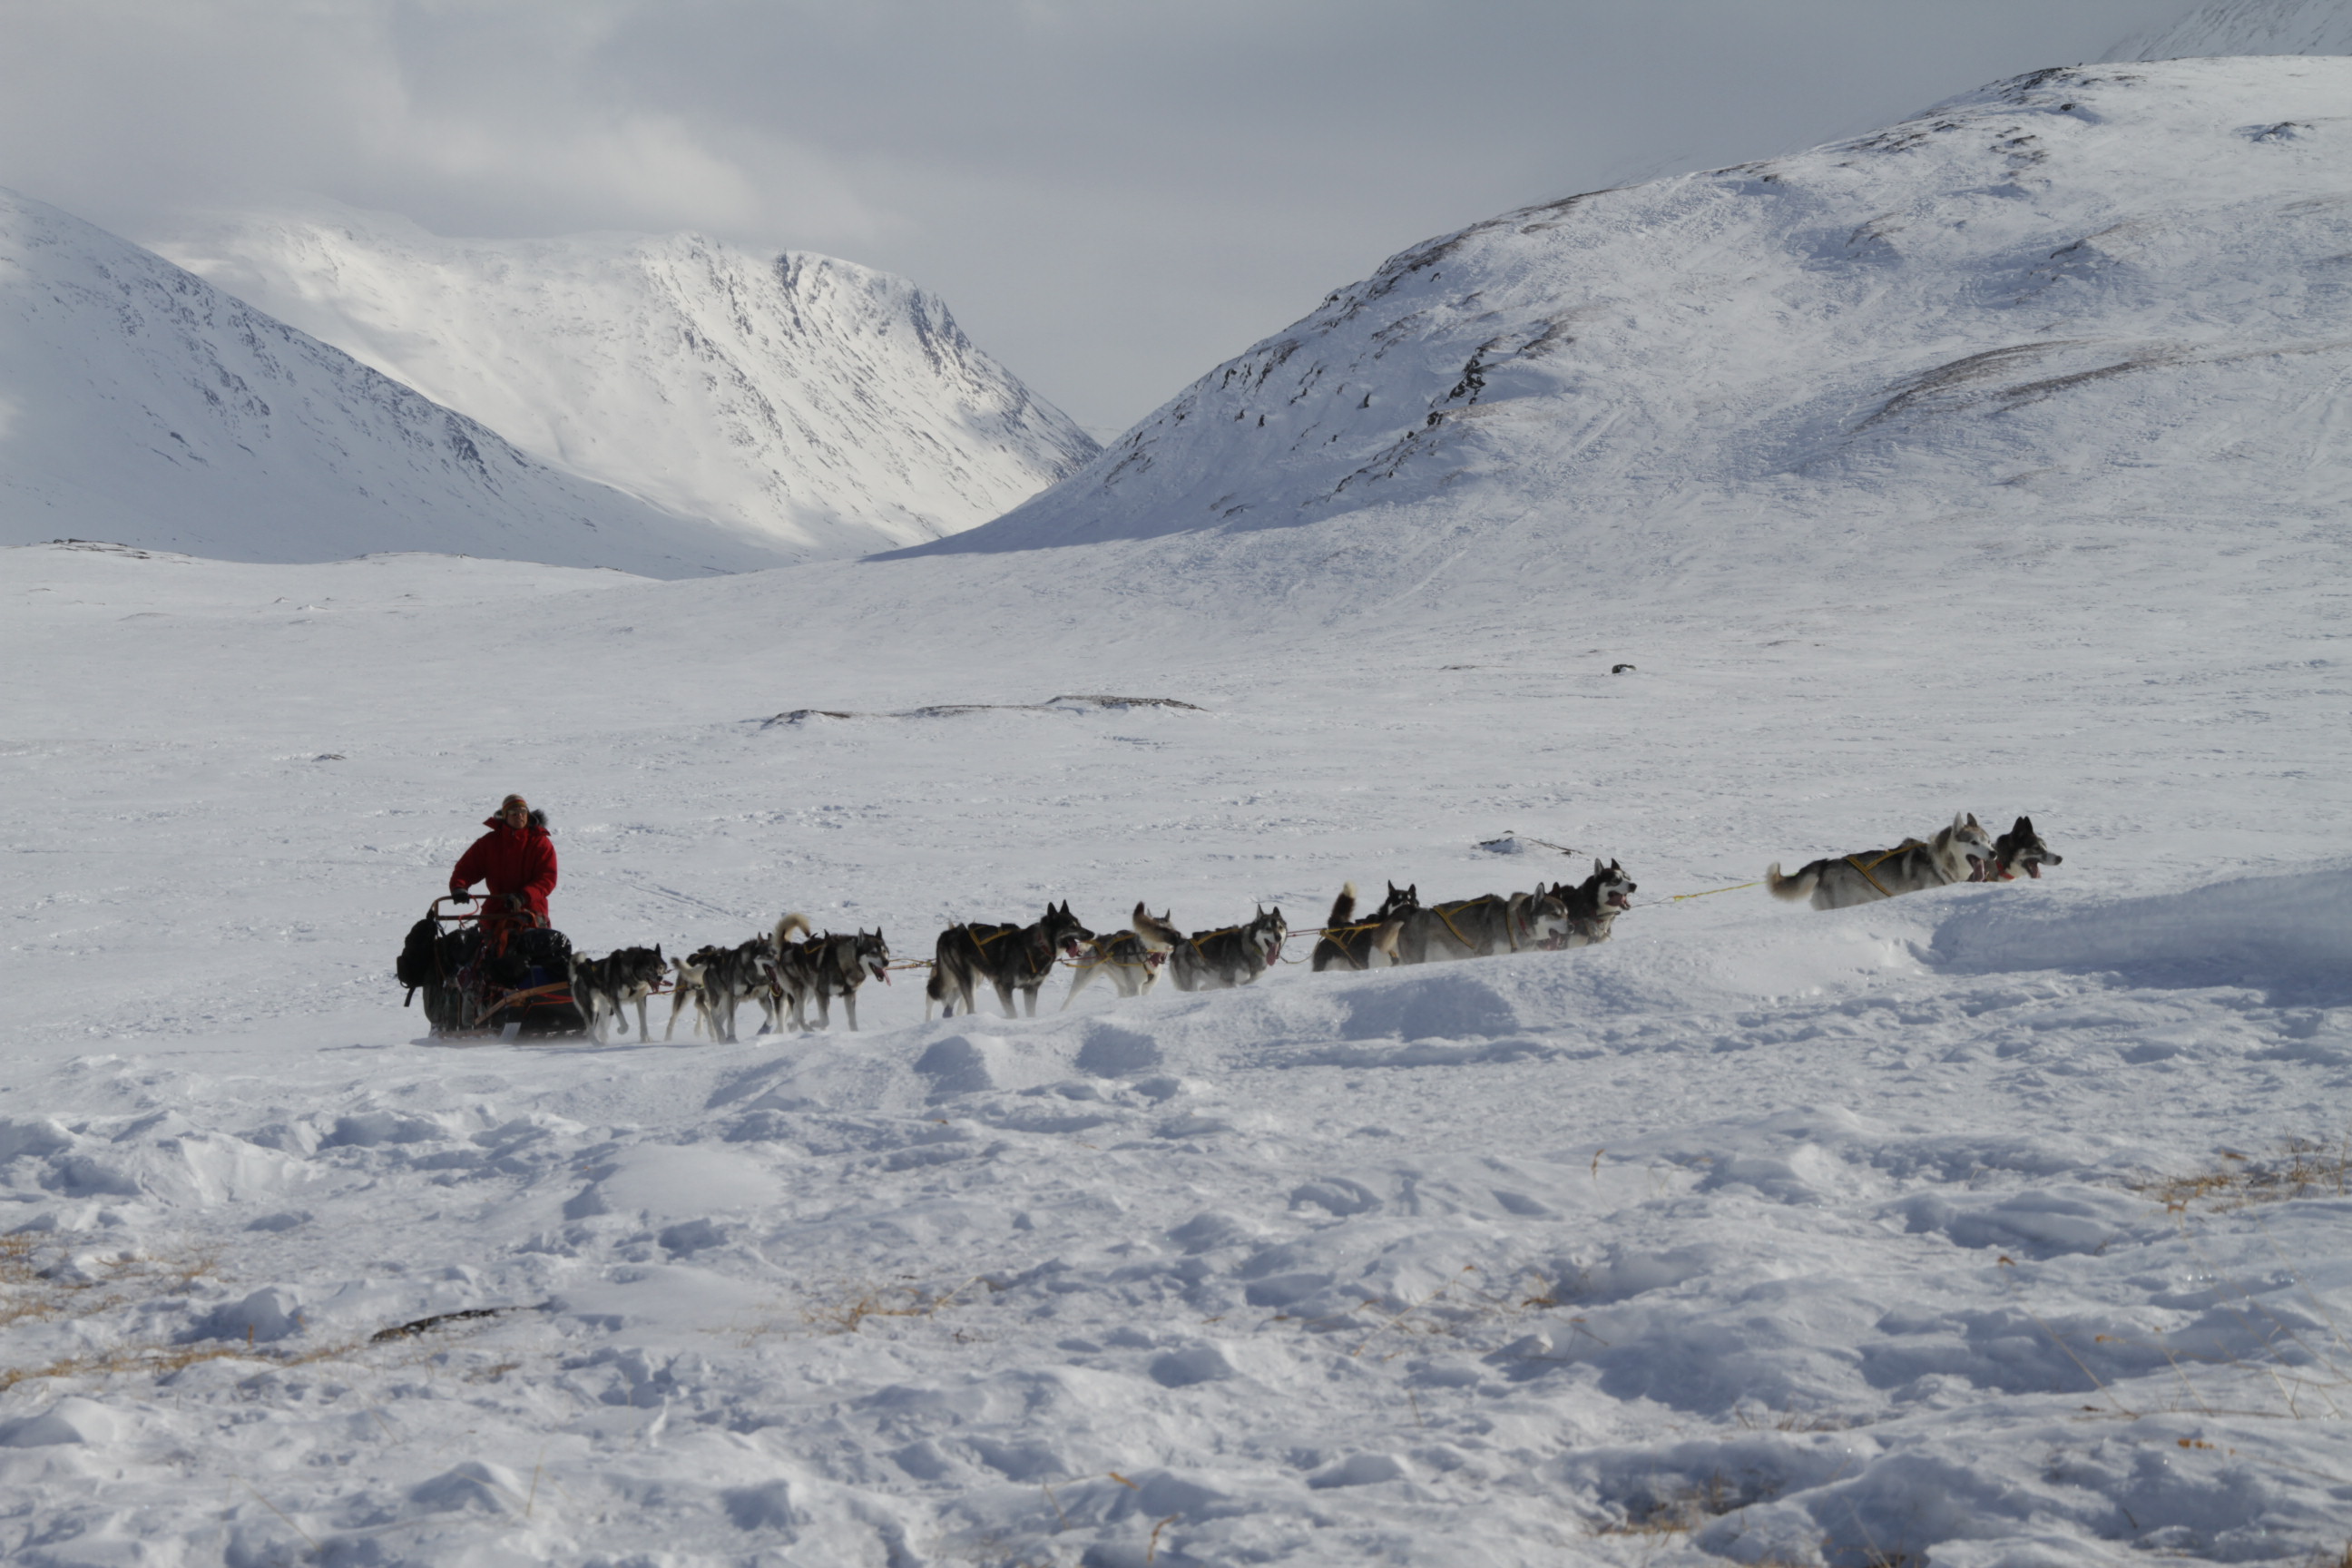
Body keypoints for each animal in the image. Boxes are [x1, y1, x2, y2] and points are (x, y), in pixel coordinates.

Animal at [926, 902, 1091, 1024]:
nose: (1092, 933)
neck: (1038, 947)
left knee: (949, 1006)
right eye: (1072, 926)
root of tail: (947, 934)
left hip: (970, 980)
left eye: (1080, 923)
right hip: (967, 980)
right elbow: (1013, 1013)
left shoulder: (1031, 989)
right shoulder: (1003, 987)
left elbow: (1031, 1014)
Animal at [1171, 902, 1298, 987]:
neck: (1251, 946)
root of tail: (1180, 942)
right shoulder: (1227, 980)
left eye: (1280, 927)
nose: (1278, 937)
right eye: (1268, 928)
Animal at [1383, 888, 1571, 964]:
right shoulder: (1484, 953)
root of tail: (1409, 911)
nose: (1572, 927)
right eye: (1555, 914)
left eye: (1567, 913)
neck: (1514, 922)